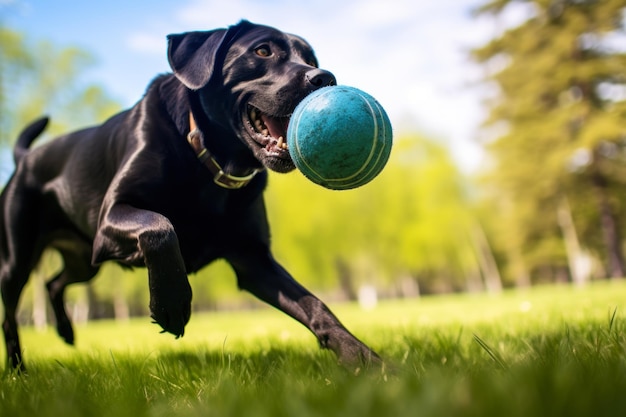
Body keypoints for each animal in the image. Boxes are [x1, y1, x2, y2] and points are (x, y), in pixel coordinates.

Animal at [0, 21, 378, 368]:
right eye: (262, 51)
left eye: (311, 59)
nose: (324, 77)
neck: (210, 162)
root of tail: (25, 158)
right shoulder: (112, 216)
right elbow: (160, 227)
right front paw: (171, 305)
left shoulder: (253, 258)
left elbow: (315, 305)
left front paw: (365, 358)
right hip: (19, 257)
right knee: (10, 313)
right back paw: (19, 371)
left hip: (83, 259)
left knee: (54, 283)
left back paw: (65, 331)